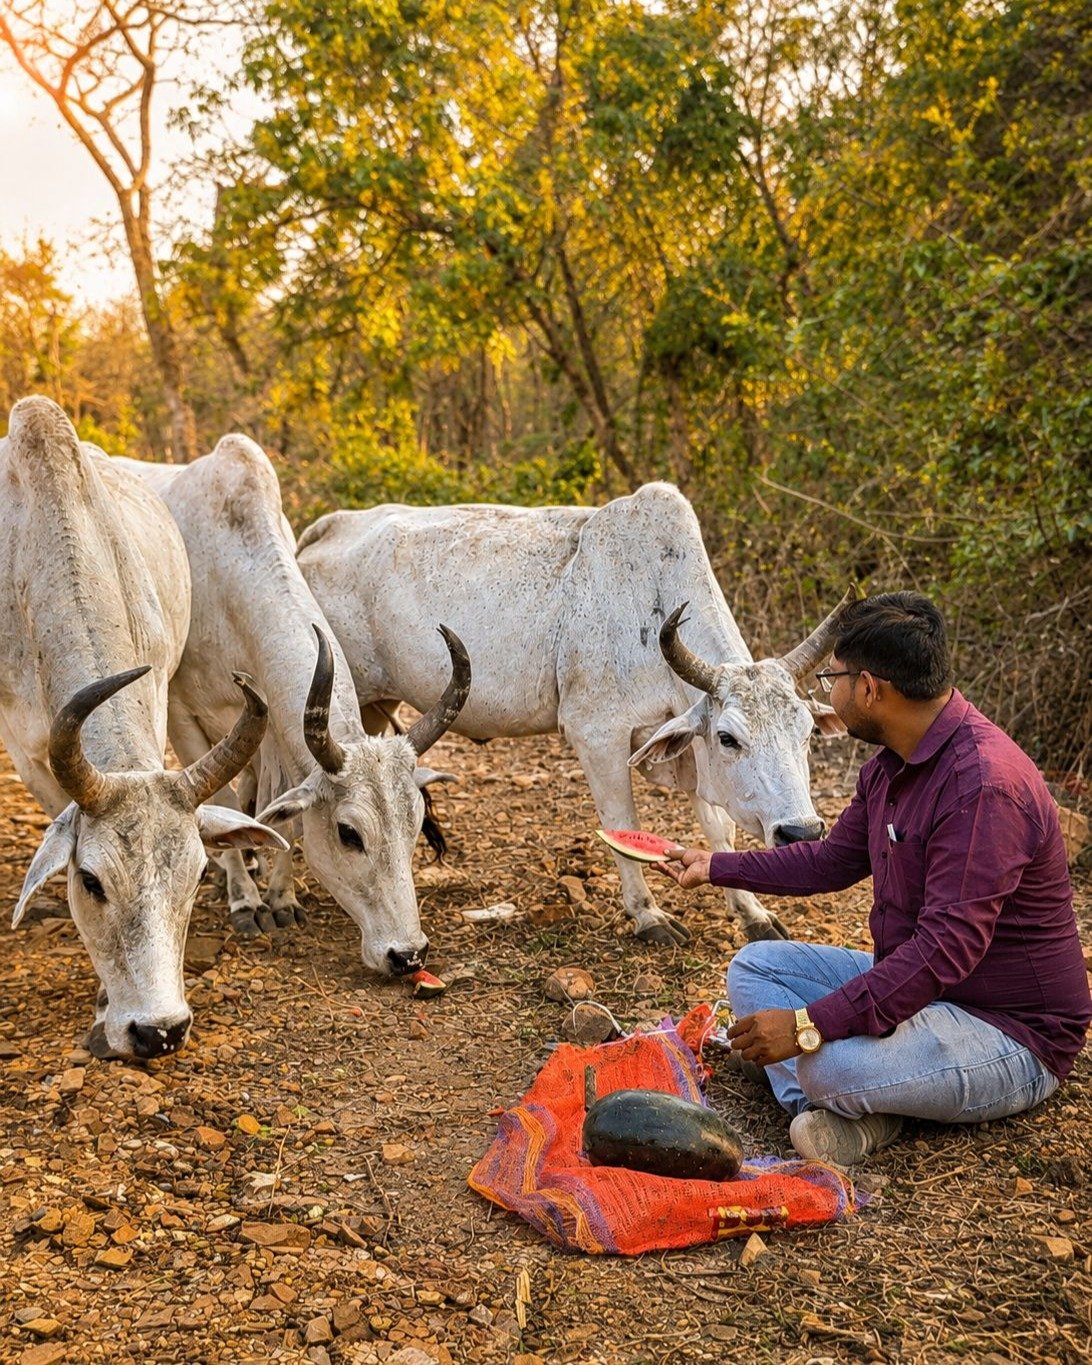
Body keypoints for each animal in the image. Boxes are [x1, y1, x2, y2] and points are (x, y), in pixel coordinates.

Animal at [115, 435, 471, 976]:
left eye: (415, 824)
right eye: (349, 834)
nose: (408, 954)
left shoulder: (276, 734)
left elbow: (286, 816)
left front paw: (281, 897)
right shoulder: (182, 716)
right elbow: (222, 800)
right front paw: (246, 901)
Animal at [297, 482, 850, 947]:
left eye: (806, 734)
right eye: (730, 738)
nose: (802, 833)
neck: (650, 599)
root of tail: (327, 528)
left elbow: (718, 829)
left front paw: (752, 912)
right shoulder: (598, 735)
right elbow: (622, 825)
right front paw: (647, 914)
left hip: (376, 707)